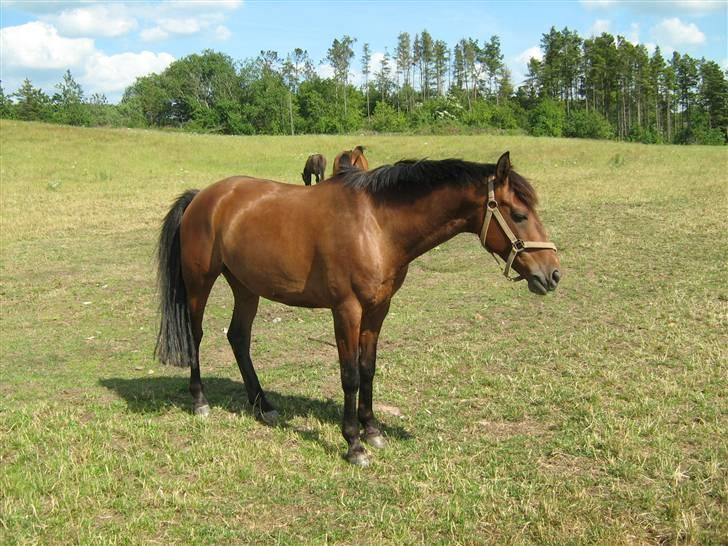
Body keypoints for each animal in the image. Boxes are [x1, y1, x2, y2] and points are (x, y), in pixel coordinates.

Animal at [155, 151, 560, 466]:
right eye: (519, 214)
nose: (553, 273)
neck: (376, 225)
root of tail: (204, 197)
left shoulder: (378, 308)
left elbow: (368, 368)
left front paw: (373, 429)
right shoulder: (346, 309)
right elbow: (349, 374)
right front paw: (353, 443)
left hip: (246, 287)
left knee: (238, 338)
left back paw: (263, 405)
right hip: (200, 284)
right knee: (197, 335)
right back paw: (200, 401)